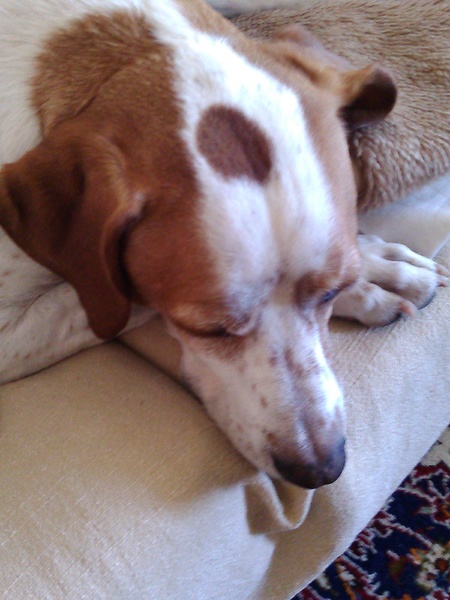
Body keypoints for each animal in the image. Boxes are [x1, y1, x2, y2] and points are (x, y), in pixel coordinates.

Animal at [0, 0, 447, 488]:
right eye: (208, 329)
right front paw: (372, 277)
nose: (321, 469)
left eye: (330, 292)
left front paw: (372, 268)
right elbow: (115, 299)